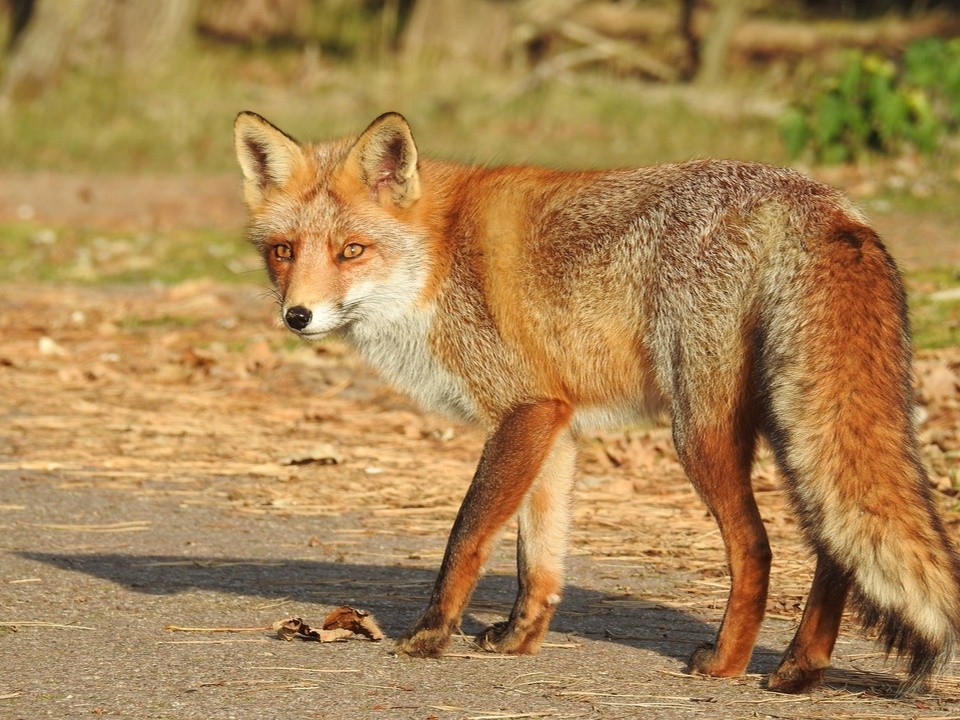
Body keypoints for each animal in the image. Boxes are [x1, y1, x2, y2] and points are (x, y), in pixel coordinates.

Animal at [234, 111, 960, 692]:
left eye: (351, 251)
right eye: (283, 252)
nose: (297, 315)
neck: (439, 259)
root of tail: (821, 201)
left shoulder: (523, 410)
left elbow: (468, 535)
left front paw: (431, 633)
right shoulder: (553, 423)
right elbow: (538, 559)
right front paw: (518, 640)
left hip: (701, 430)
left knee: (758, 547)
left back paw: (727, 663)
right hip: (796, 429)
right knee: (837, 550)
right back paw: (798, 670)